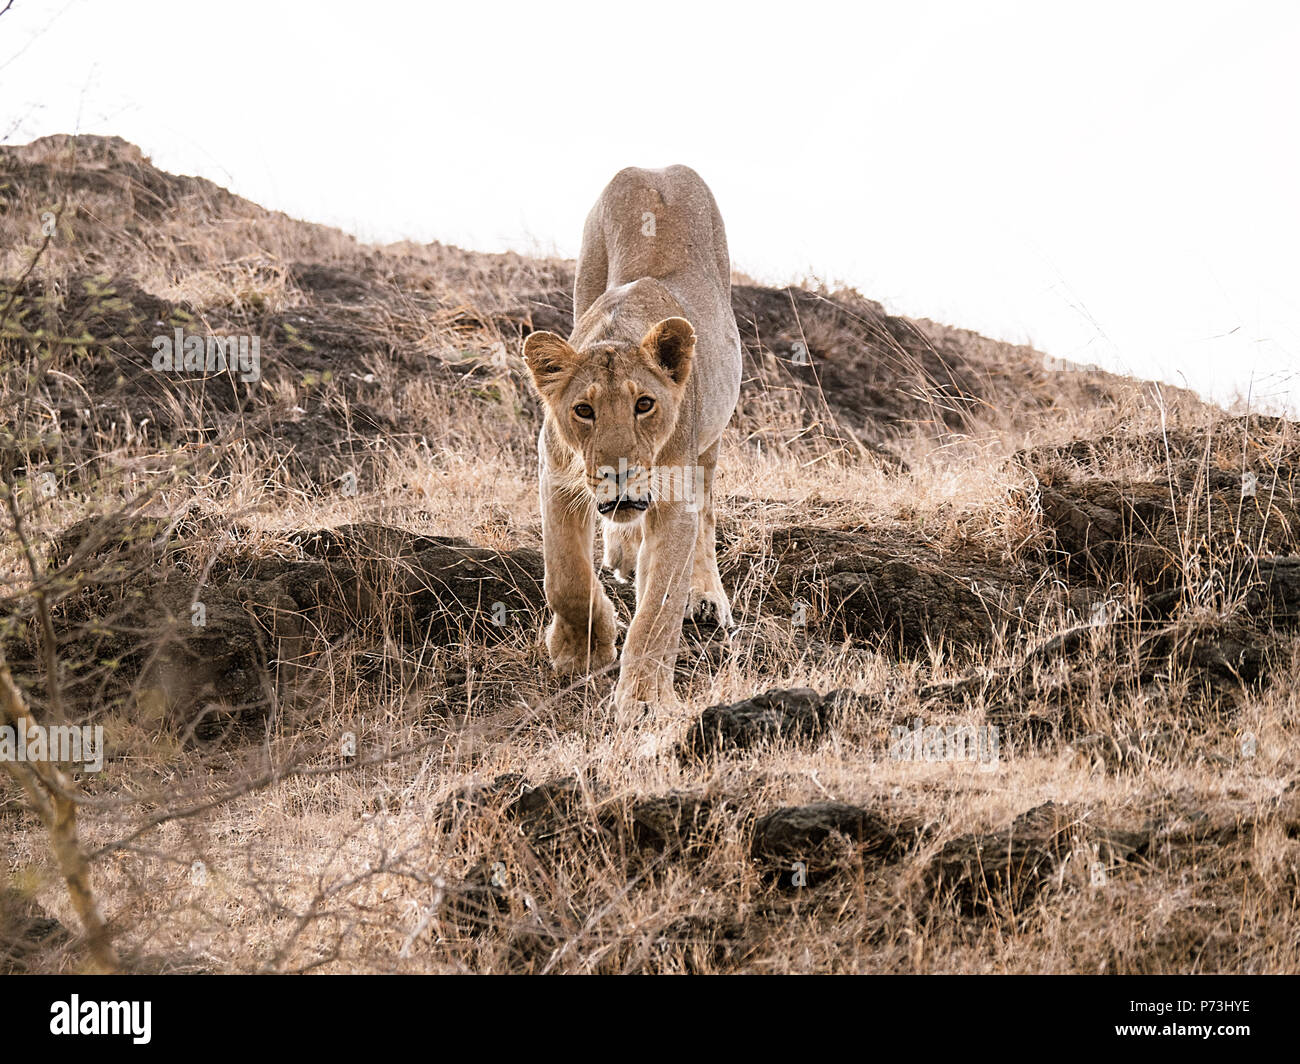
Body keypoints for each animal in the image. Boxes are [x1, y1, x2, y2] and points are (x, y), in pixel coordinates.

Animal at [522, 165, 742, 711]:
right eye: (583, 410)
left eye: (644, 404)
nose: (617, 473)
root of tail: (657, 169)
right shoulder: (556, 478)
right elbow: (565, 578)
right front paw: (582, 650)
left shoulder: (674, 497)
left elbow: (661, 602)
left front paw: (645, 699)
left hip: (710, 439)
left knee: (707, 517)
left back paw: (705, 598)